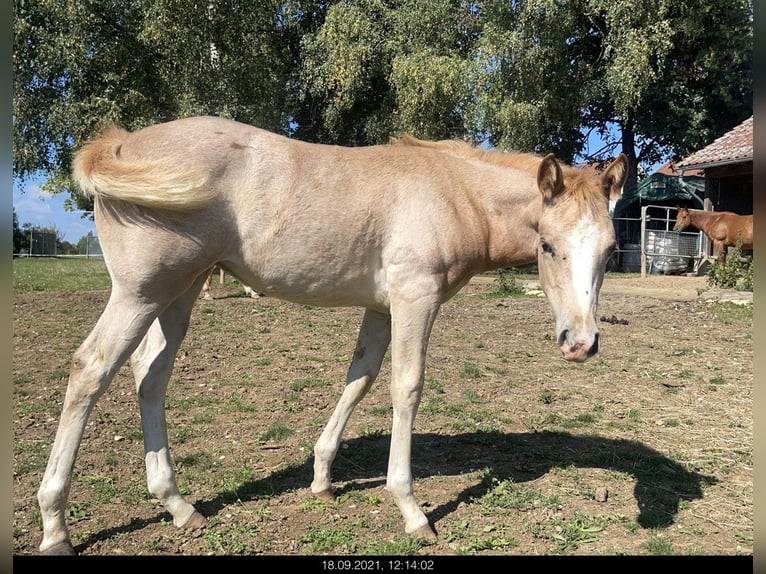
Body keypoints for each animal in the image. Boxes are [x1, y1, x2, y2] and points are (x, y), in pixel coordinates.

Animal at [36, 115, 628, 556]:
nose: (580, 343)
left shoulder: (382, 307)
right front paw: (411, 510)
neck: (453, 192)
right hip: (140, 293)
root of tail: (123, 143)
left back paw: (179, 506)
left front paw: (321, 477)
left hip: (179, 292)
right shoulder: (415, 299)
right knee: (91, 370)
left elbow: (358, 379)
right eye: (548, 245)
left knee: (150, 374)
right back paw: (55, 525)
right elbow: (405, 388)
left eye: (609, 250)